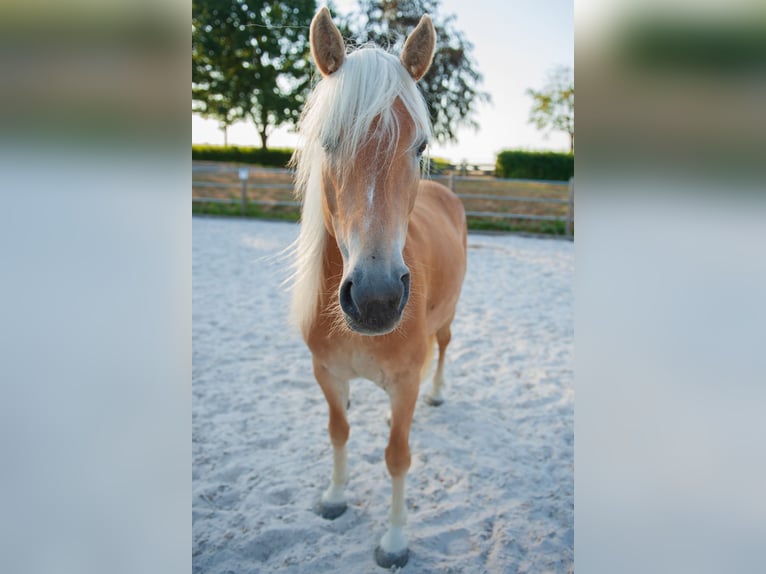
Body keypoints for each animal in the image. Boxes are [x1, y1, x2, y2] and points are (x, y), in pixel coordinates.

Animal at [289, 7, 467, 568]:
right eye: (327, 141)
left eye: (421, 144)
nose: (376, 299)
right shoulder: (326, 374)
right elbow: (339, 431)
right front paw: (335, 497)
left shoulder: (403, 385)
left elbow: (397, 456)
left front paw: (394, 541)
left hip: (449, 317)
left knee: (444, 347)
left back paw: (440, 394)